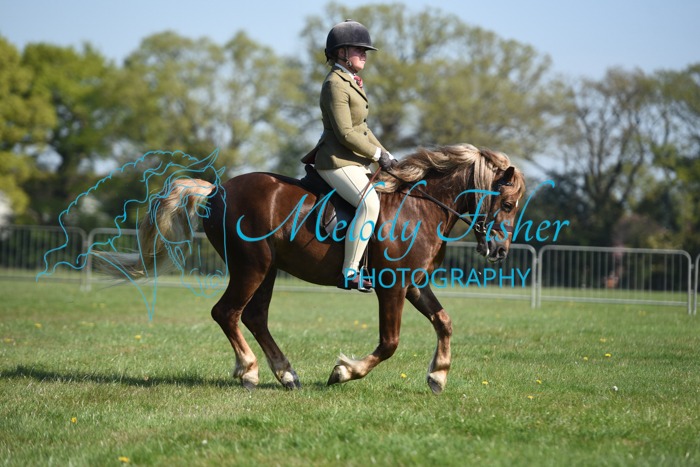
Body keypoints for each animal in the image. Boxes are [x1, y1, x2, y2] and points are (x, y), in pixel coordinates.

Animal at [105, 143, 526, 393]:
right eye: (506, 205)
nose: (500, 251)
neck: (420, 207)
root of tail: (214, 192)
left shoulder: (415, 283)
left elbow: (444, 322)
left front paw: (438, 375)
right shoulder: (392, 286)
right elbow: (389, 343)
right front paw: (344, 371)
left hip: (268, 269)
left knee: (254, 316)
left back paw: (286, 374)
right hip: (250, 266)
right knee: (227, 312)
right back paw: (250, 370)